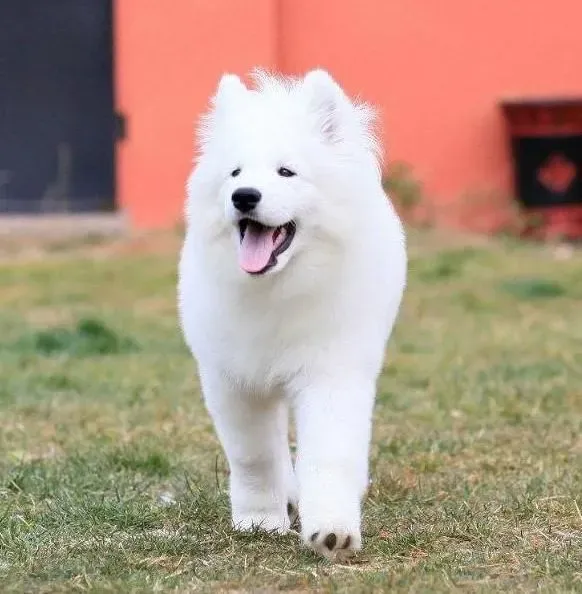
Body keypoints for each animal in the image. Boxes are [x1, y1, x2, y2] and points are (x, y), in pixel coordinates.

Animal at [178, 69, 406, 560]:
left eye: (286, 172)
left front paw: (332, 530)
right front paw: (260, 521)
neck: (275, 290)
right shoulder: (234, 382)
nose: (244, 196)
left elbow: (328, 454)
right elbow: (254, 457)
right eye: (234, 173)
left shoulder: (331, 374)